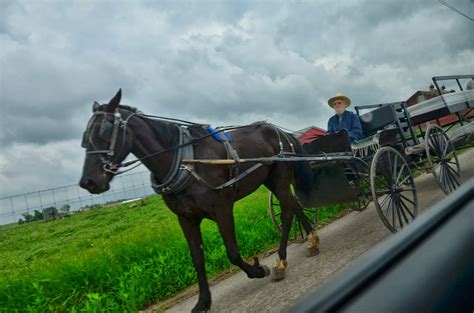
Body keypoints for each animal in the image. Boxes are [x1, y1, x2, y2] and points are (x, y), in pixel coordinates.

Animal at [79, 89, 318, 310]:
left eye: (105, 130)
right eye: (84, 137)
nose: (87, 182)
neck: (184, 161)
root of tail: (279, 131)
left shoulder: (222, 209)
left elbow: (232, 252)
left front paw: (258, 270)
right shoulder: (186, 219)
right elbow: (197, 259)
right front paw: (203, 301)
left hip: (280, 178)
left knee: (287, 213)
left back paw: (281, 261)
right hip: (270, 180)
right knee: (294, 205)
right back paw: (312, 240)